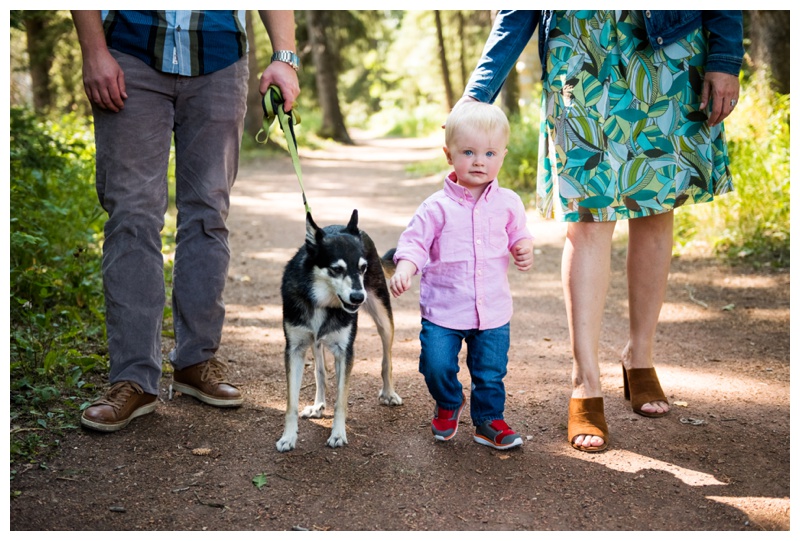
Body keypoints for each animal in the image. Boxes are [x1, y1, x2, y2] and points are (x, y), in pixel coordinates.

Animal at [276, 209, 404, 450]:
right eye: (336, 269)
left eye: (362, 268)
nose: (358, 297)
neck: (321, 301)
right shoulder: (294, 350)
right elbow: (291, 403)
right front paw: (288, 437)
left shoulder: (345, 352)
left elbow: (340, 402)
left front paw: (337, 434)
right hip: (315, 343)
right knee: (320, 372)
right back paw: (318, 404)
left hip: (384, 321)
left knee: (387, 360)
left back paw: (389, 393)